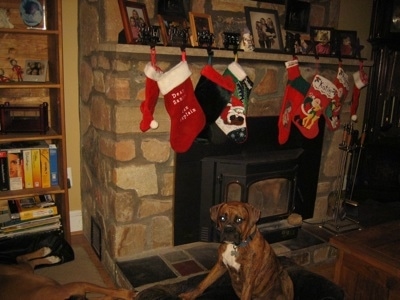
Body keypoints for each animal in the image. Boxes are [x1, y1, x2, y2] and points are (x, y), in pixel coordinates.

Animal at [0, 247, 135, 298]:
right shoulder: (78, 285)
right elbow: (109, 292)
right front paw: (127, 294)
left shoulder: (81, 285)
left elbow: (109, 291)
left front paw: (126, 294)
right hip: (22, 270)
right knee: (21, 258)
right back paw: (48, 255)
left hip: (25, 270)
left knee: (22, 259)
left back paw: (48, 254)